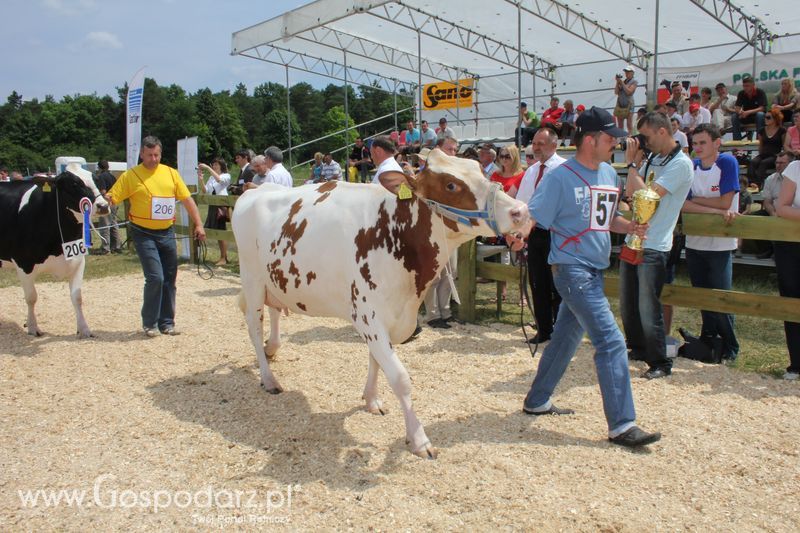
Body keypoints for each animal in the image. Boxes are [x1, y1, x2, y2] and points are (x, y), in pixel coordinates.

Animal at [0, 163, 109, 336]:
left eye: (96, 179)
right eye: (74, 184)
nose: (103, 206)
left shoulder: (78, 261)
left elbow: (77, 297)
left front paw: (84, 329)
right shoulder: (23, 264)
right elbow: (31, 297)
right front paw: (33, 327)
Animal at [231, 148, 532, 456]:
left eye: (481, 170)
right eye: (451, 185)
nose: (520, 211)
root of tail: (256, 189)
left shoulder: (391, 318)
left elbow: (375, 362)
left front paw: (371, 400)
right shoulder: (368, 315)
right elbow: (400, 378)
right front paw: (419, 439)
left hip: (273, 280)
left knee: (275, 312)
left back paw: (272, 348)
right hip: (252, 279)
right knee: (254, 325)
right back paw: (269, 377)